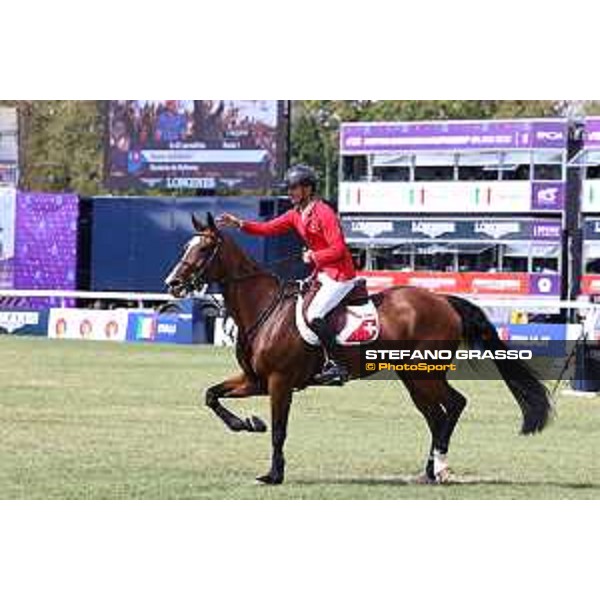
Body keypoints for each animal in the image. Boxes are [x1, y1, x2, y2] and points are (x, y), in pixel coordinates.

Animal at [165, 213, 552, 486]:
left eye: (203, 249)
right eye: (186, 247)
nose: (172, 284)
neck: (264, 308)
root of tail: (443, 300)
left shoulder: (279, 382)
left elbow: (279, 430)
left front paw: (273, 474)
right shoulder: (255, 380)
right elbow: (211, 395)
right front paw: (248, 423)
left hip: (425, 372)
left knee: (454, 405)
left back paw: (440, 467)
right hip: (413, 378)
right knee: (435, 415)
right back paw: (428, 471)